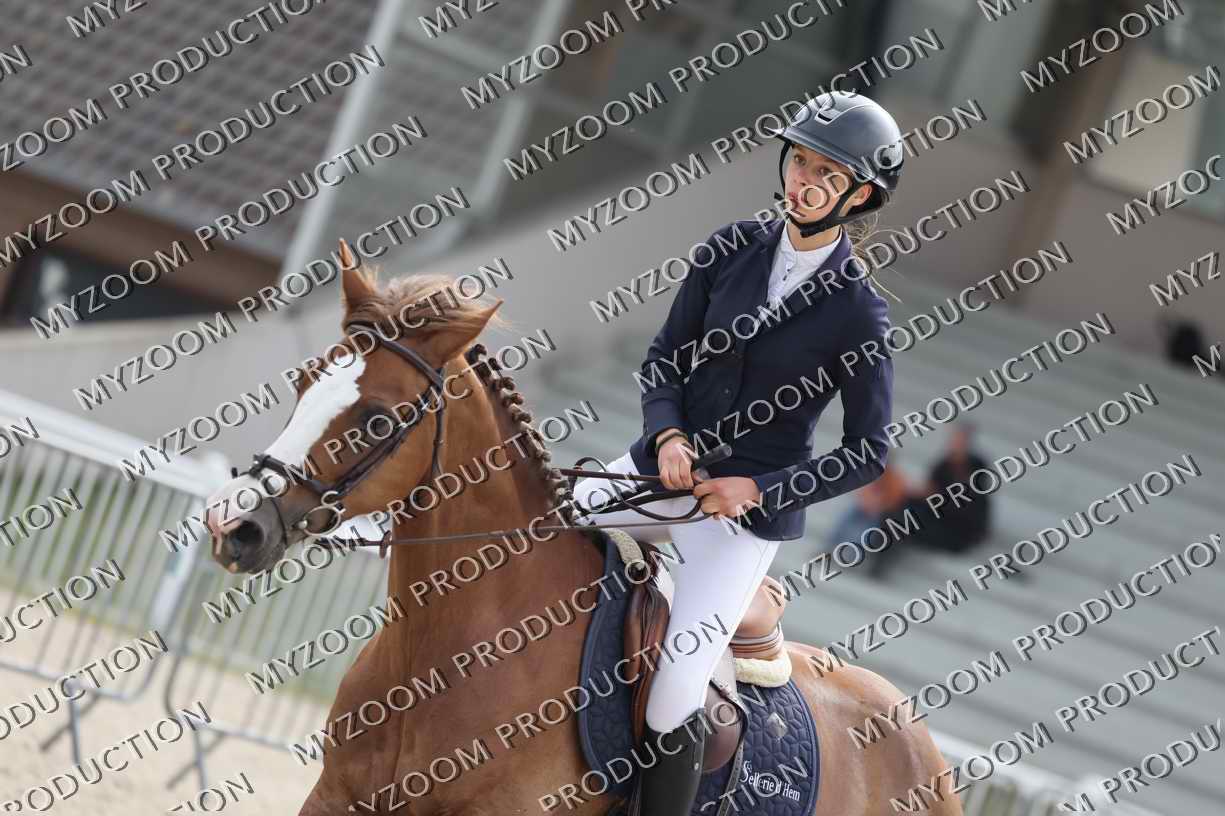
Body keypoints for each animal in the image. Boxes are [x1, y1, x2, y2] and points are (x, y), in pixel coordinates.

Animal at [202, 242, 964, 816]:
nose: (234, 524)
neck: (453, 654)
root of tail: (916, 737)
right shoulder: (336, 799)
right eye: (304, 381)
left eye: (377, 419)